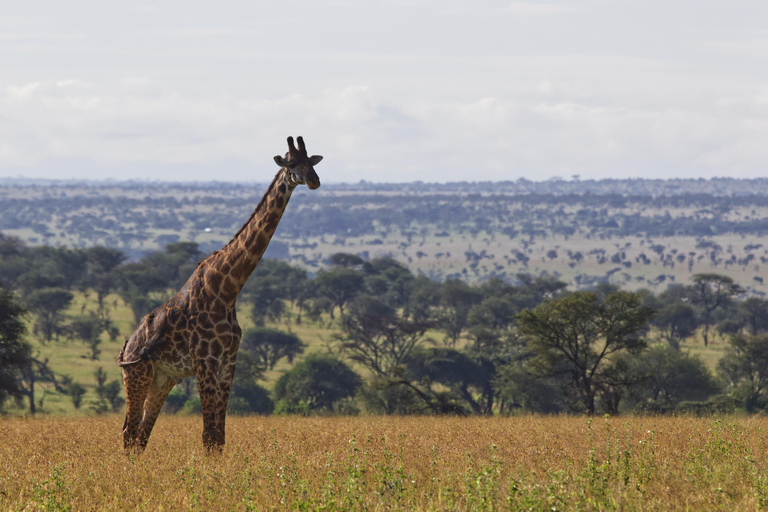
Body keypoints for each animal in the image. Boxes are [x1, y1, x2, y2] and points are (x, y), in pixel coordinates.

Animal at [118, 136, 322, 452]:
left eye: (311, 162)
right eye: (291, 163)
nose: (314, 181)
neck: (227, 290)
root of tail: (128, 345)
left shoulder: (228, 362)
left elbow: (219, 437)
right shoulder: (206, 361)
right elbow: (208, 435)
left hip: (163, 380)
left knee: (141, 434)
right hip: (136, 375)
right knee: (128, 432)